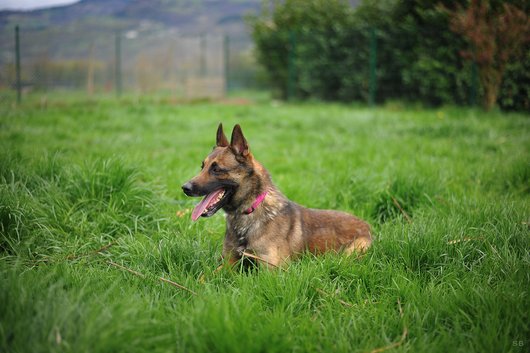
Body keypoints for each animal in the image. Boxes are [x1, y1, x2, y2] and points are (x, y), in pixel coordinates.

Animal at [182, 124, 372, 266]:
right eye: (202, 167)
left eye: (216, 169)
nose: (185, 187)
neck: (249, 212)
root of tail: (366, 225)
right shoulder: (228, 263)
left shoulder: (272, 270)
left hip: (352, 252)